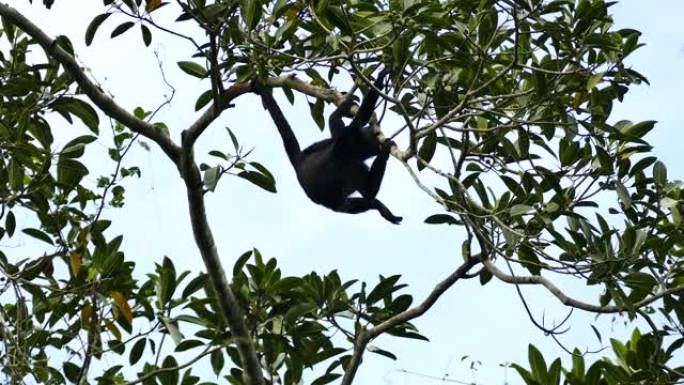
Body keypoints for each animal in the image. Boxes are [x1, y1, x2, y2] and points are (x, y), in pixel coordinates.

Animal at [250, 70, 400, 224]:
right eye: (374, 139)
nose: (378, 142)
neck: (353, 152)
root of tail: (298, 164)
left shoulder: (345, 142)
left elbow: (334, 121)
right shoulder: (348, 142)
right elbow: (361, 118)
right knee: (343, 205)